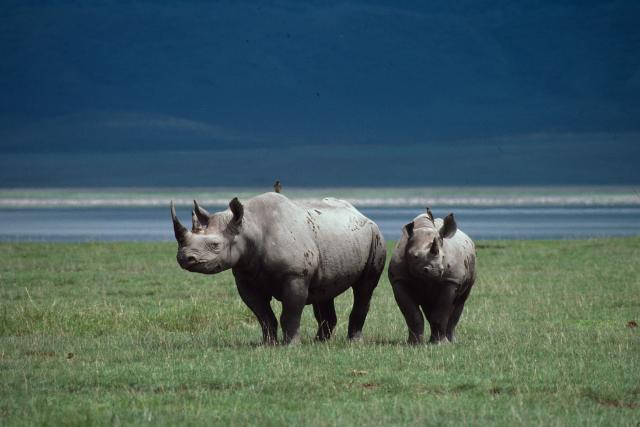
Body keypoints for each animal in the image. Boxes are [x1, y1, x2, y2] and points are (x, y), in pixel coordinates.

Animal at [170, 192, 386, 345]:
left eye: (215, 245)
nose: (184, 258)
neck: (249, 228)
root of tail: (360, 213)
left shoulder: (295, 275)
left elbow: (290, 313)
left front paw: (290, 346)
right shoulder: (245, 276)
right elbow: (263, 314)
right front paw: (268, 344)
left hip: (375, 236)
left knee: (364, 288)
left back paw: (353, 342)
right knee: (325, 290)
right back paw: (319, 342)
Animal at [388, 209, 476, 344]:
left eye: (443, 257)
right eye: (415, 257)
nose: (435, 271)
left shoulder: (450, 280)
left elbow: (441, 313)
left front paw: (441, 344)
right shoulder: (399, 279)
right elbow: (412, 314)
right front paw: (414, 344)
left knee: (460, 301)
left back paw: (450, 341)